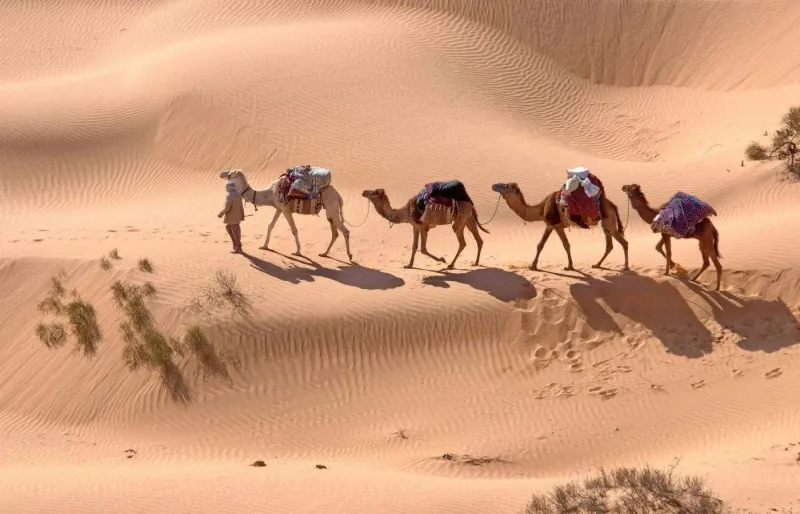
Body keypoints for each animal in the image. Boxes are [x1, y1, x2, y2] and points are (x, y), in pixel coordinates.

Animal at [221, 169, 353, 261]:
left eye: (231, 173)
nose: (222, 174)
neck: (269, 194)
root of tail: (339, 197)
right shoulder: (279, 208)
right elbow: (270, 225)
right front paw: (264, 246)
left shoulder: (285, 208)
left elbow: (294, 229)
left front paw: (297, 252)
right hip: (331, 212)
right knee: (335, 232)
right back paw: (324, 253)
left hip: (332, 207)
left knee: (345, 231)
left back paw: (349, 256)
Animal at [361, 182, 489, 269]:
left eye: (373, 192)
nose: (364, 192)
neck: (407, 211)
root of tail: (471, 204)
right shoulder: (415, 226)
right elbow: (414, 246)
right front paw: (409, 265)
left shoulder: (423, 227)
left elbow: (423, 249)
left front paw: (442, 259)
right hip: (469, 219)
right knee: (479, 239)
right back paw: (475, 263)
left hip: (461, 218)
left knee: (462, 241)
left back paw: (451, 265)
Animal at [490, 182, 629, 271]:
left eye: (505, 186)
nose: (493, 185)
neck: (541, 208)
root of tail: (613, 205)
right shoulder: (559, 226)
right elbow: (566, 245)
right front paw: (570, 266)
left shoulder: (550, 224)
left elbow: (540, 245)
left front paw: (532, 266)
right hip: (607, 224)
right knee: (611, 244)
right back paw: (597, 265)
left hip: (609, 221)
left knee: (623, 242)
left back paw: (625, 268)